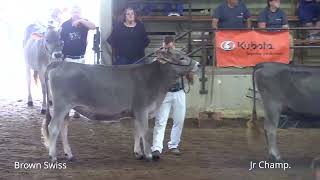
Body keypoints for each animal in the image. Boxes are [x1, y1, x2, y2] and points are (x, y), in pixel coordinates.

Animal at [41, 47, 199, 162]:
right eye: (181, 57)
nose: (198, 64)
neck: (155, 79)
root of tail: (60, 63)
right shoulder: (142, 109)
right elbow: (145, 132)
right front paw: (148, 155)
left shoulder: (136, 113)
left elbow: (137, 132)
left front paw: (138, 153)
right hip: (61, 106)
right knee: (53, 127)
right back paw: (53, 156)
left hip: (65, 108)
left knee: (63, 128)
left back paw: (69, 154)